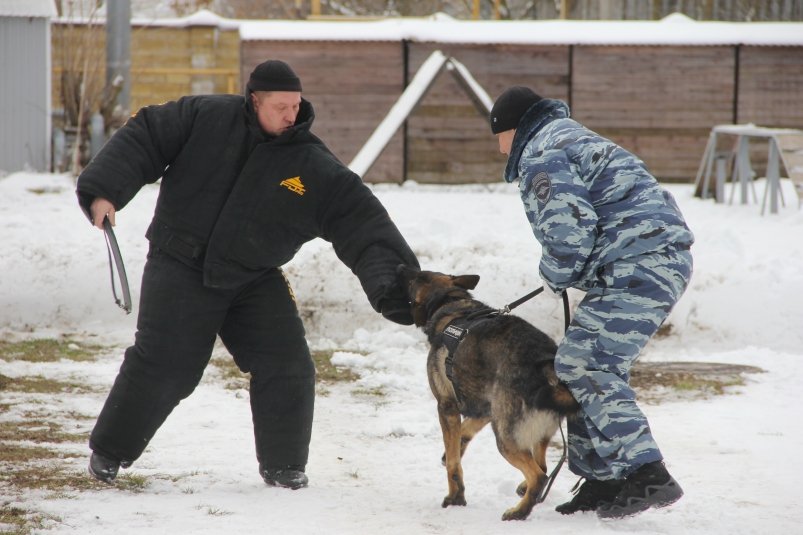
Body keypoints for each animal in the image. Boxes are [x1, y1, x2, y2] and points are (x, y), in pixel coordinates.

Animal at [398, 266, 580, 520]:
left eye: (414, 278)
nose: (401, 268)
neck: (450, 301)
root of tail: (544, 365)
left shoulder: (446, 406)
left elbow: (454, 463)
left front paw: (455, 498)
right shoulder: (485, 408)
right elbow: (462, 436)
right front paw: (453, 451)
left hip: (505, 438)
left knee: (539, 475)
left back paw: (518, 512)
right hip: (533, 429)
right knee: (542, 465)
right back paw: (523, 491)